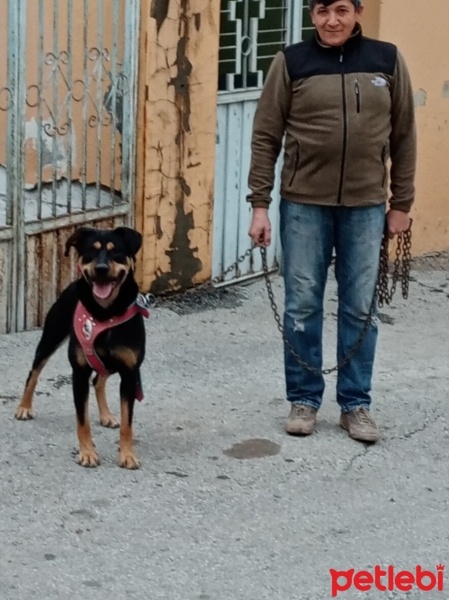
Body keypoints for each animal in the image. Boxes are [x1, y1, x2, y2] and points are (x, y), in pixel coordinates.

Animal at [14, 225, 149, 468]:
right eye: (90, 252)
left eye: (116, 252)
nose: (101, 269)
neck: (105, 313)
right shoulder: (79, 372)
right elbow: (82, 420)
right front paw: (87, 453)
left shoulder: (129, 373)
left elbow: (127, 423)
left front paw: (127, 455)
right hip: (51, 336)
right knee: (34, 373)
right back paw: (24, 407)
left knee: (99, 380)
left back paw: (107, 416)